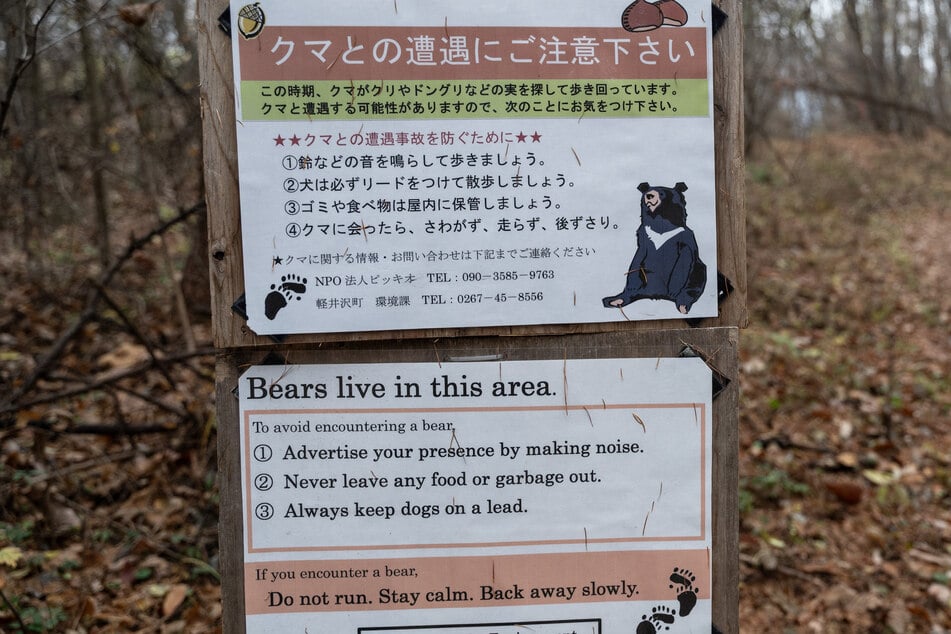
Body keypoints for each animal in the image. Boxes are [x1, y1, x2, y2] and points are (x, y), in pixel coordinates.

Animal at [602, 181, 707, 314]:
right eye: (647, 193)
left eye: (661, 194)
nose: (650, 195)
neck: (659, 221)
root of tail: (656, 295)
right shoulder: (644, 236)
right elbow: (636, 260)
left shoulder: (684, 237)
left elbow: (684, 260)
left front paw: (674, 290)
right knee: (630, 291)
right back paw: (615, 300)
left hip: (697, 273)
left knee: (693, 285)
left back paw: (682, 305)